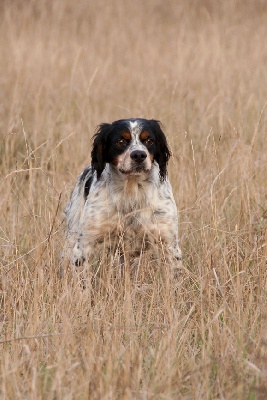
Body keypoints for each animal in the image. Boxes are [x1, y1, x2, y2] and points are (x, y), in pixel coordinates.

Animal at [64, 119, 182, 268]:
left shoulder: (169, 245)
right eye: (120, 141)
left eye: (149, 140)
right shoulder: (84, 246)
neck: (132, 190)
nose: (139, 155)